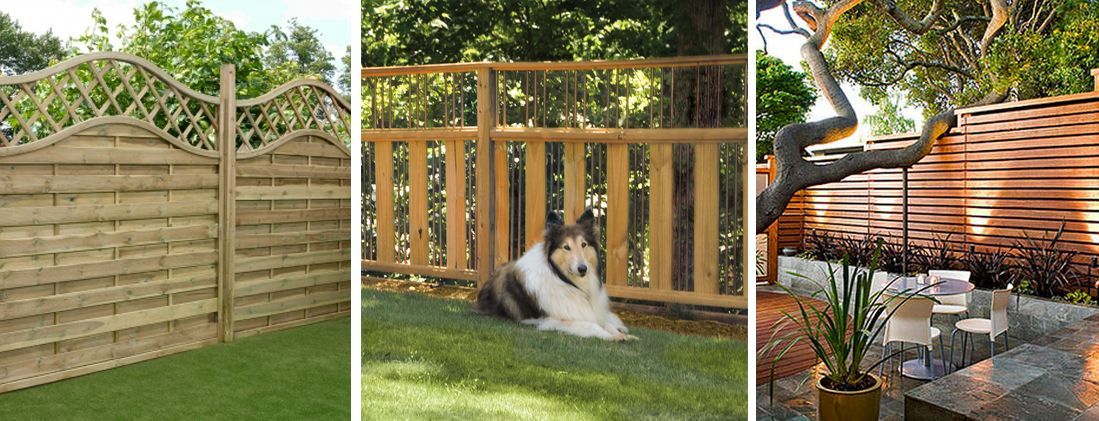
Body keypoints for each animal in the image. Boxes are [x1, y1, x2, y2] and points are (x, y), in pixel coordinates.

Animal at [476, 208, 641, 340]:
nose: (583, 269)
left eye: (584, 244)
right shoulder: (554, 320)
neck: (564, 279)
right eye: (566, 247)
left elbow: (605, 323)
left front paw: (623, 334)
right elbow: (592, 325)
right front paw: (615, 337)